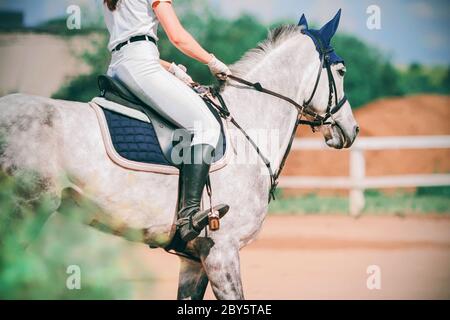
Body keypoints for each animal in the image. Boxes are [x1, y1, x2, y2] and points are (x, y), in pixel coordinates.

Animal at [0, 20, 358, 298]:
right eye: (341, 70)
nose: (351, 129)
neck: (247, 130)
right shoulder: (222, 252)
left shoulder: (193, 260)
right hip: (24, 211)